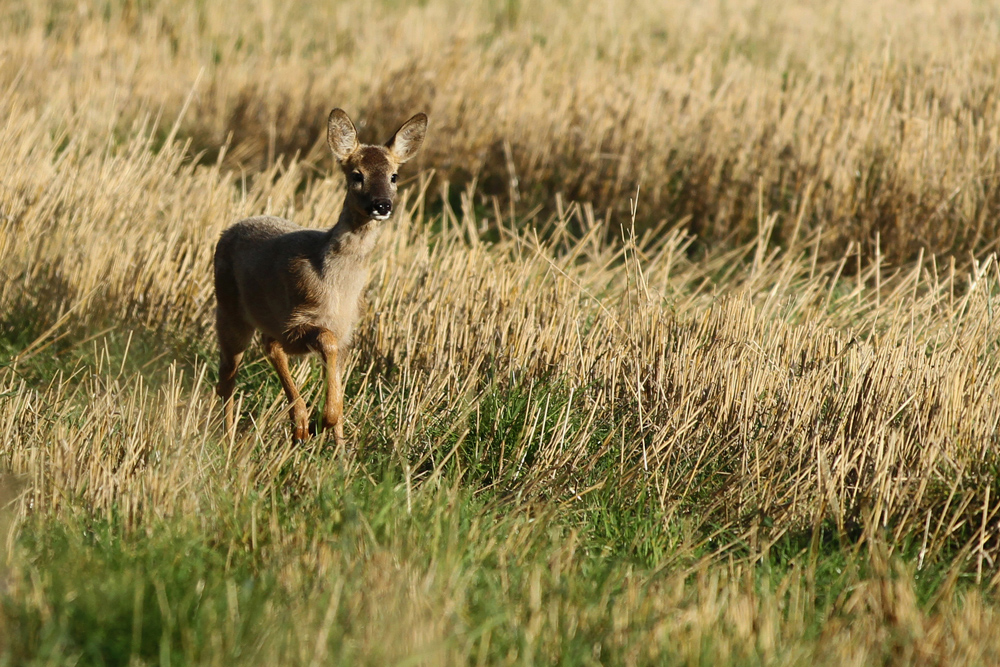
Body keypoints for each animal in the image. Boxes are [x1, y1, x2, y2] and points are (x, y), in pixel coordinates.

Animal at [215, 107, 426, 446]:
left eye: (394, 176)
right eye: (357, 175)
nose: (382, 204)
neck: (337, 284)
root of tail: (230, 229)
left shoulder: (345, 330)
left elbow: (336, 370)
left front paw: (337, 439)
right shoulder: (297, 321)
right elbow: (321, 344)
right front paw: (315, 422)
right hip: (230, 312)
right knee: (228, 378)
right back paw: (231, 437)